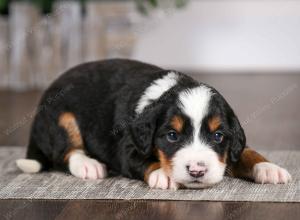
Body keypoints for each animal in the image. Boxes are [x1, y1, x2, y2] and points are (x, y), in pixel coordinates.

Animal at [15, 59, 290, 190]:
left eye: (218, 136)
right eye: (172, 136)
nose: (197, 171)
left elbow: (245, 151)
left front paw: (268, 167)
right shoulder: (127, 147)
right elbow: (144, 159)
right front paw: (164, 174)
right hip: (61, 118)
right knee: (63, 153)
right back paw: (88, 165)